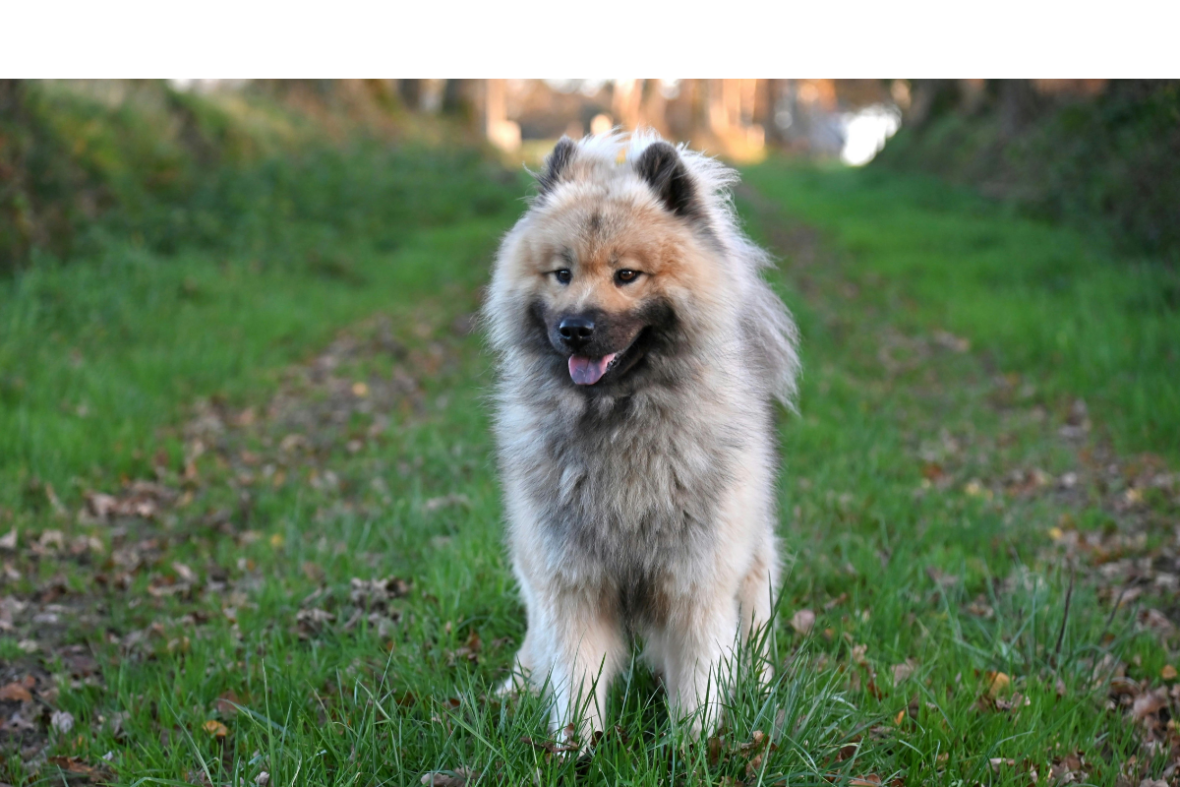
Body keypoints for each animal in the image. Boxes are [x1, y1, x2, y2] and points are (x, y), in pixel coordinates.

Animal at [481, 130, 802, 740]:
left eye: (626, 275)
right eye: (562, 274)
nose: (574, 329)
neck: (619, 422)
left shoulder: (696, 585)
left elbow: (700, 680)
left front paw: (696, 745)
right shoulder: (572, 583)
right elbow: (576, 678)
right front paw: (575, 748)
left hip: (749, 564)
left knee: (755, 631)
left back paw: (762, 691)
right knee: (536, 639)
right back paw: (516, 687)